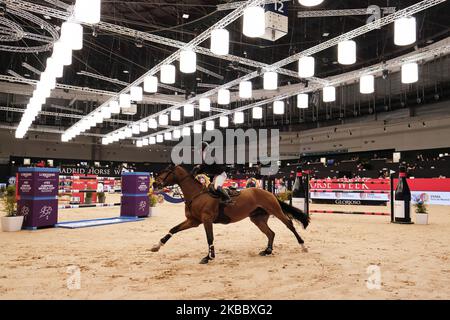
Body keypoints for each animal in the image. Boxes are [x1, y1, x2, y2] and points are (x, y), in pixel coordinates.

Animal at [151, 166, 310, 264]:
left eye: (166, 171)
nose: (154, 184)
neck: (197, 195)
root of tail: (268, 192)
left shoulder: (206, 220)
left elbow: (210, 238)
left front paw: (208, 257)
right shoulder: (193, 221)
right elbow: (173, 230)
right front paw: (157, 246)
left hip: (275, 211)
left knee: (289, 225)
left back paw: (303, 246)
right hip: (257, 219)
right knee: (271, 233)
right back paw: (267, 251)